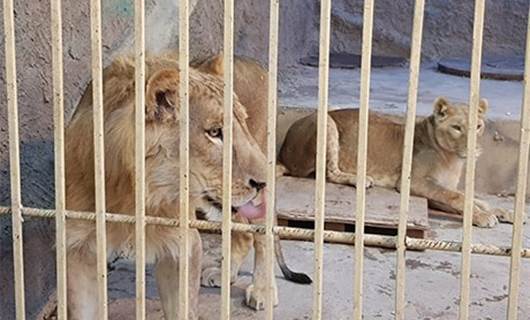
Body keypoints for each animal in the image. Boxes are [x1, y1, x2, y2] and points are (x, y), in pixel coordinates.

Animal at [65, 52, 268, 318]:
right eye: (214, 132)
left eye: (242, 125)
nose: (263, 181)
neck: (130, 191)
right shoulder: (80, 248)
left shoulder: (183, 245)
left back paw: (263, 291)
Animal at [278, 97, 512, 228]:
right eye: (457, 128)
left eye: (479, 126)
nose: (474, 149)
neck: (452, 158)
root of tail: (283, 153)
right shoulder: (414, 182)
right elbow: (457, 197)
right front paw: (484, 217)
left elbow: (471, 198)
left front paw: (499, 211)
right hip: (326, 121)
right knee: (329, 172)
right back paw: (360, 179)